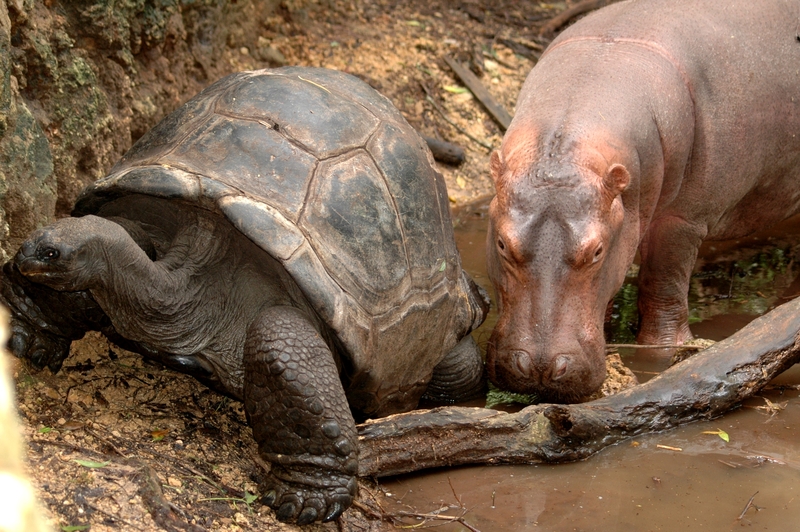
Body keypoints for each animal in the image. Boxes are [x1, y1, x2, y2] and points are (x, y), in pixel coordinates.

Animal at [486, 0, 800, 402]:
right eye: (501, 243)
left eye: (597, 251)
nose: (540, 367)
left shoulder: (682, 220)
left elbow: (663, 285)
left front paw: (663, 355)